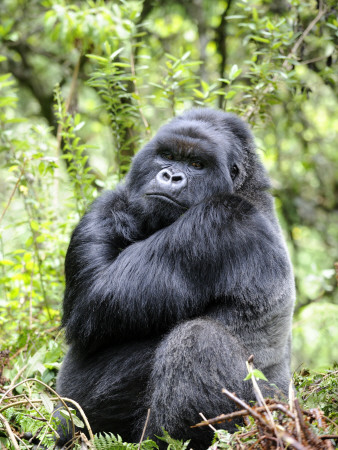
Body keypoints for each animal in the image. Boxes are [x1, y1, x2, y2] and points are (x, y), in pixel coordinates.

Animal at [56, 107, 294, 448]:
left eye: (197, 165)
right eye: (167, 156)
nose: (170, 176)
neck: (244, 188)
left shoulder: (218, 220)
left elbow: (93, 298)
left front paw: (119, 210)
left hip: (263, 415)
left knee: (198, 339)